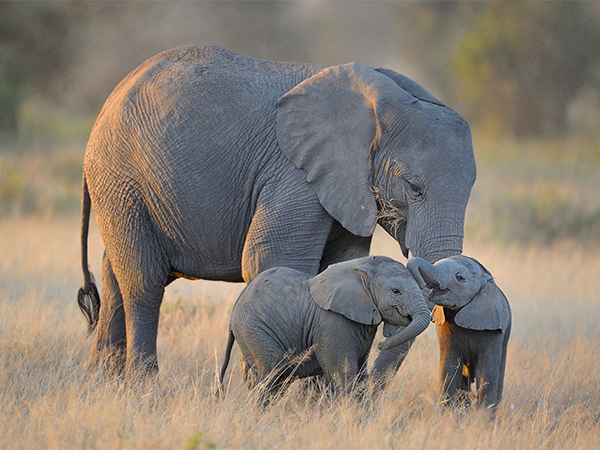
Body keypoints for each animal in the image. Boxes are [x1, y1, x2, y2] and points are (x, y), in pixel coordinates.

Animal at [77, 46, 476, 376]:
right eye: (414, 187)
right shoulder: (294, 174)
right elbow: (272, 260)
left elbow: (340, 265)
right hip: (121, 178)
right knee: (143, 282)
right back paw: (143, 386)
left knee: (115, 277)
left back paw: (101, 383)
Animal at [220, 255, 432, 400]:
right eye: (396, 291)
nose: (382, 344)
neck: (360, 267)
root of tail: (233, 313)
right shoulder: (333, 323)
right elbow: (344, 374)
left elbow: (360, 374)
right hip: (254, 328)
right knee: (273, 374)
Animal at [408, 255, 510, 410]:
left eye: (460, 277)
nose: (421, 284)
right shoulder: (444, 325)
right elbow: (449, 368)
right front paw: (448, 413)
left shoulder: (494, 329)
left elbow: (486, 374)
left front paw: (482, 416)